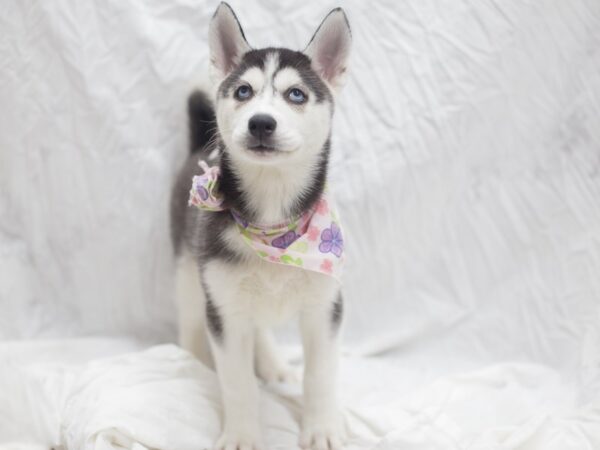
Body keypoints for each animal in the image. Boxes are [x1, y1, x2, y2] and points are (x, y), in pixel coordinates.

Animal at [171, 2, 352, 446]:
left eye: (296, 94)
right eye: (243, 92)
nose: (261, 123)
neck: (274, 227)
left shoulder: (325, 306)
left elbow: (321, 375)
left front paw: (322, 428)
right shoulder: (223, 311)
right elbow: (237, 384)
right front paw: (241, 435)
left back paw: (272, 364)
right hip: (188, 274)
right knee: (190, 322)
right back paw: (191, 362)